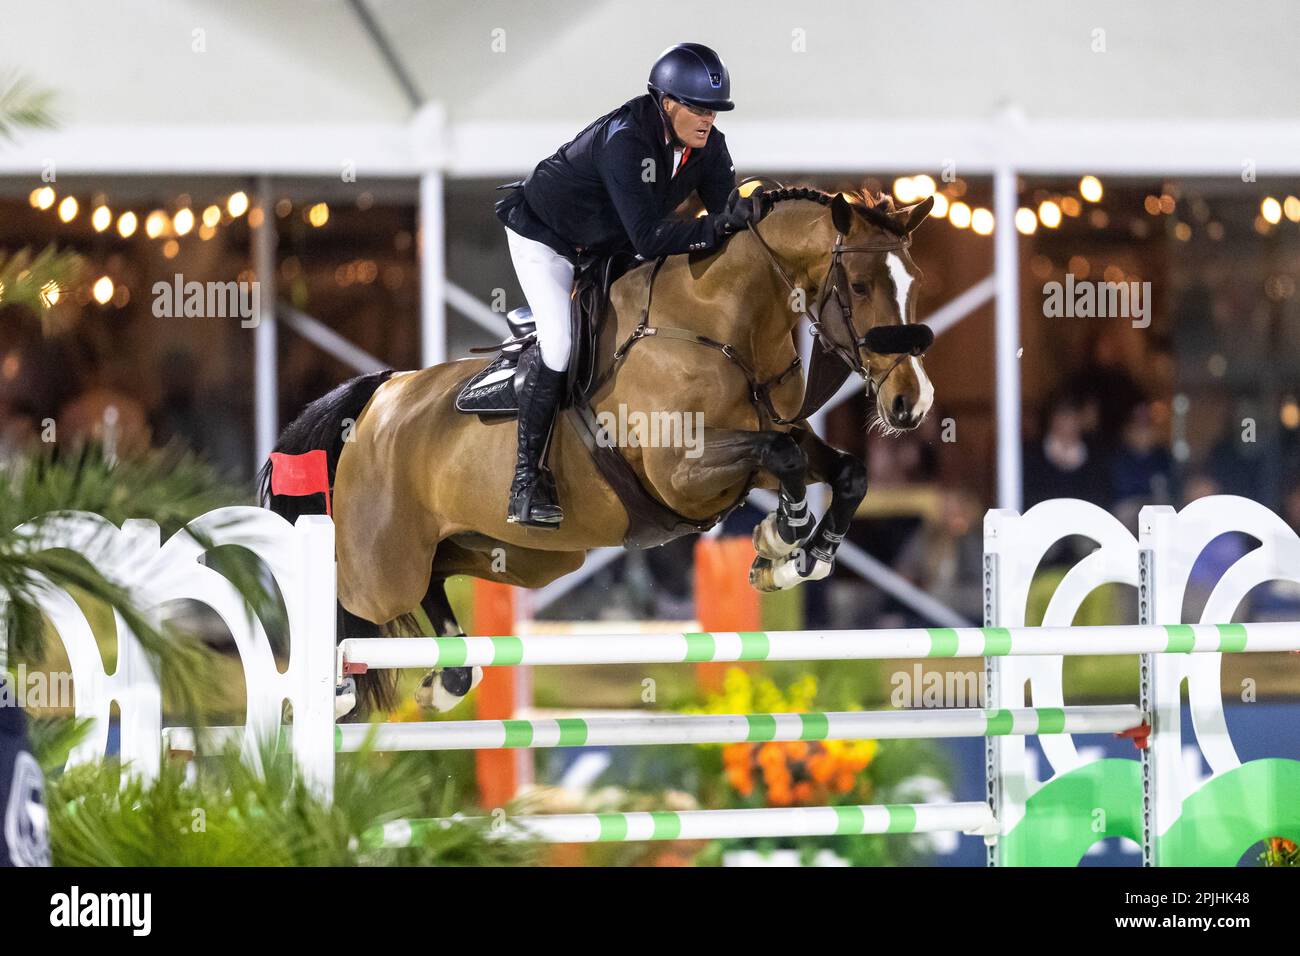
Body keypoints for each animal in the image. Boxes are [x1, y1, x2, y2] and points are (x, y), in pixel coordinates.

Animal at [261, 187, 935, 712]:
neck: (721, 326)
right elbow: (784, 458)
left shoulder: (761, 447)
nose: (911, 402)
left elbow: (842, 471)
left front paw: (799, 558)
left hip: (522, 557)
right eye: (859, 285)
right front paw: (783, 535)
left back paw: (449, 679)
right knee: (346, 592)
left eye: (915, 285)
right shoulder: (682, 471)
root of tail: (381, 397)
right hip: (382, 566)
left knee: (437, 576)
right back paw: (338, 692)